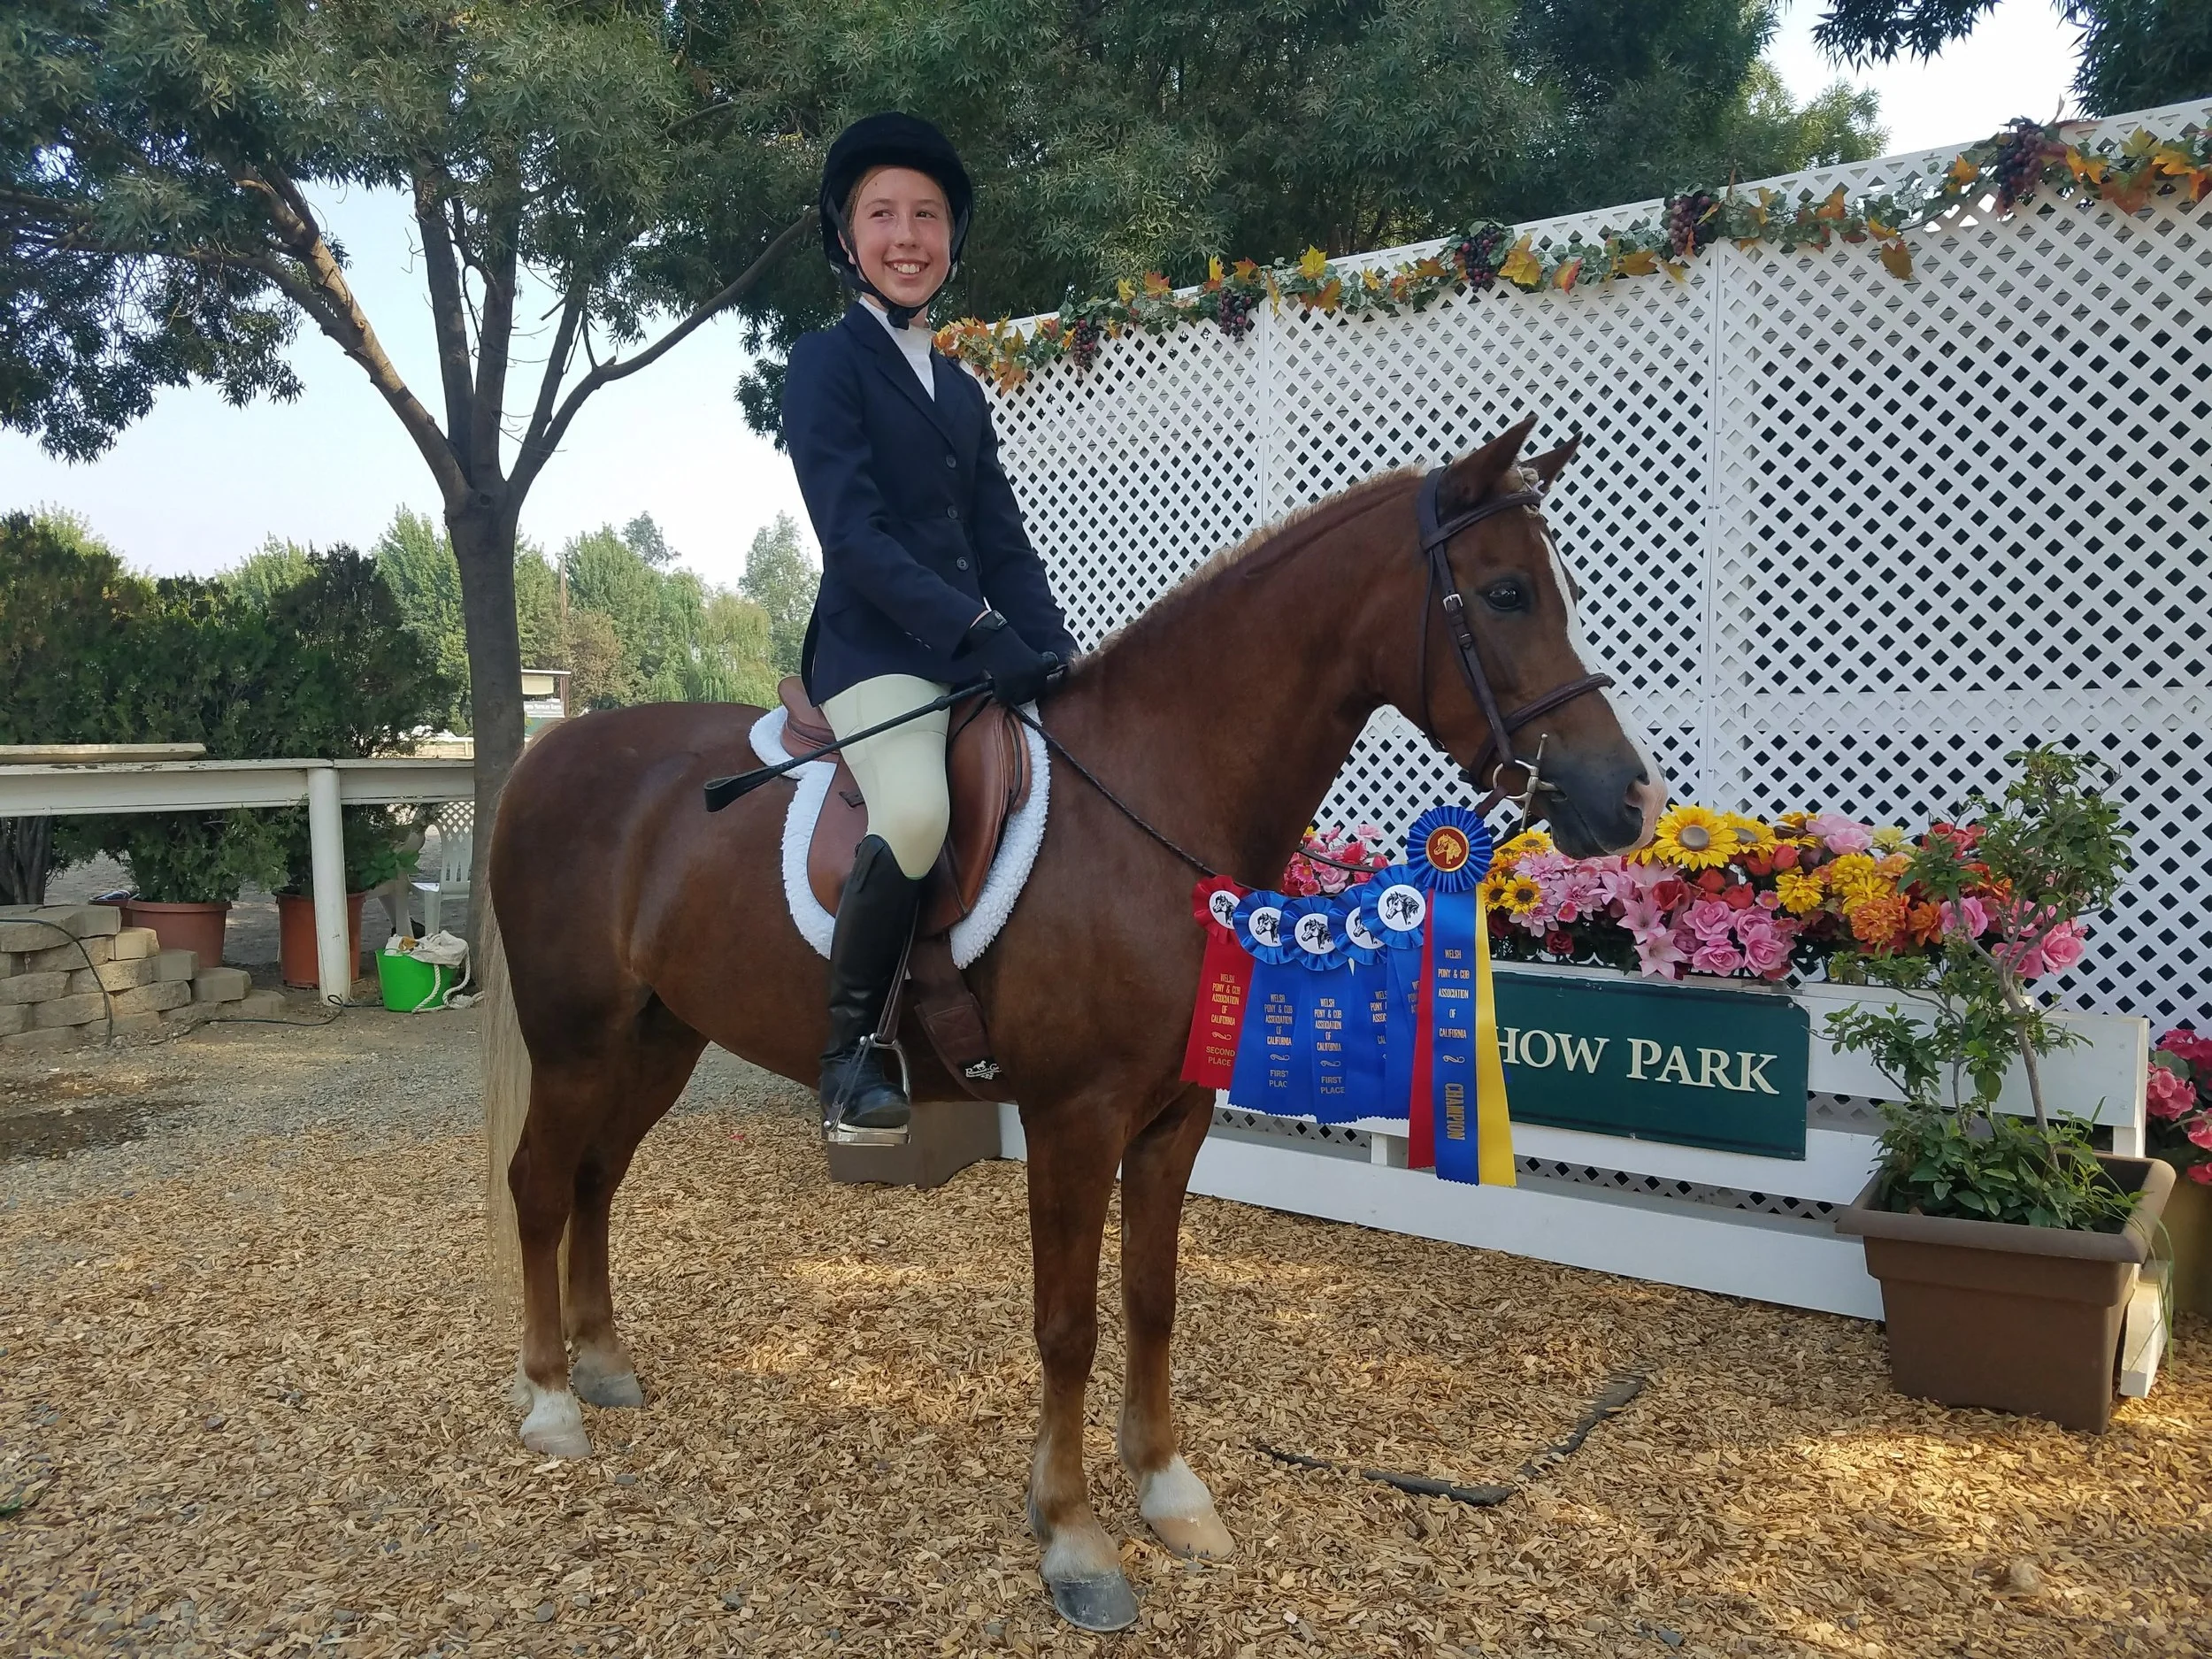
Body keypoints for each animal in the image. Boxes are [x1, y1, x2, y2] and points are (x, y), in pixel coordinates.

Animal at [480, 415, 1667, 1631]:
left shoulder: (1173, 1116)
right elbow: (1068, 1325)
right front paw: (1073, 1538)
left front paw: (1169, 1490)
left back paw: (602, 1366)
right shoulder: (1073, 1120)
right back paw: (550, 1402)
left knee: (595, 1181)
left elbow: (1151, 1299)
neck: (1153, 798)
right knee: (540, 1184)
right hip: (576, 1042)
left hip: (657, 1038)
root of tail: (547, 754)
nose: (1629, 800)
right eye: (1508, 592)